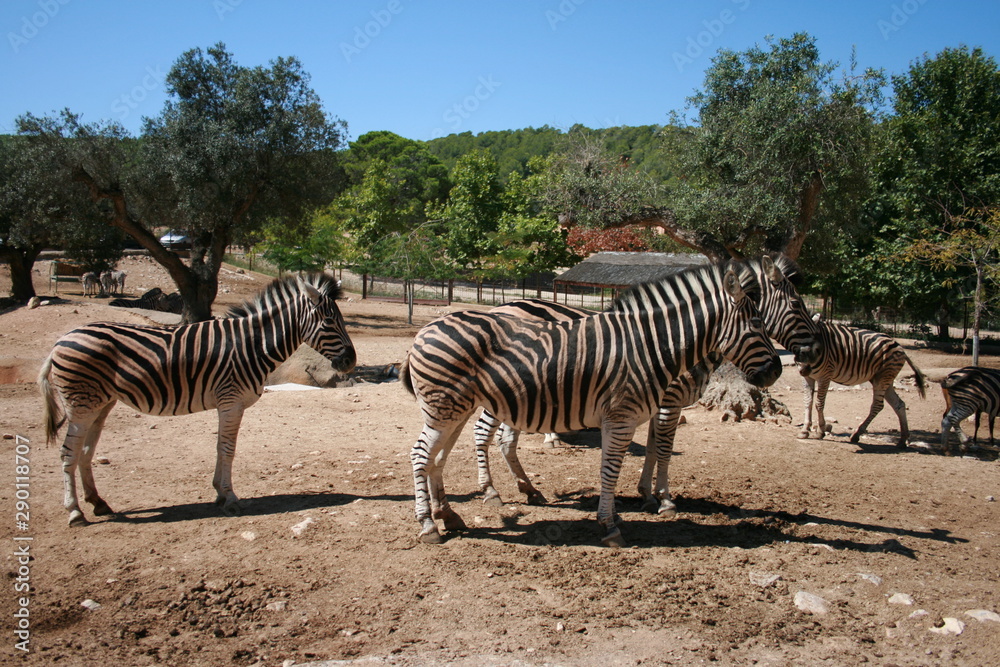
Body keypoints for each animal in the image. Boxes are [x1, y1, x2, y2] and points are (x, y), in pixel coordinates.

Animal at [39, 273, 356, 526]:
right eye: (330, 321)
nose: (351, 362)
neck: (252, 345)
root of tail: (59, 341)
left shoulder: (228, 403)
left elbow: (220, 448)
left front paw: (219, 493)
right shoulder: (231, 401)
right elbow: (228, 449)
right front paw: (230, 498)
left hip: (101, 402)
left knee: (85, 451)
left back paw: (98, 502)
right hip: (81, 403)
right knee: (68, 453)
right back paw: (75, 512)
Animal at [402, 261, 782, 547]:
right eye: (757, 323)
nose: (777, 371)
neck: (650, 346)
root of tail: (426, 328)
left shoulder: (629, 416)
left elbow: (623, 463)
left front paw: (626, 510)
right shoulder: (623, 415)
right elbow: (611, 469)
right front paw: (611, 526)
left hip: (455, 410)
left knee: (436, 458)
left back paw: (449, 516)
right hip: (445, 408)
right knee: (421, 454)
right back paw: (428, 526)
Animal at [471, 254, 817, 517]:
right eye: (796, 305)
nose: (811, 354)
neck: (671, 338)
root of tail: (500, 307)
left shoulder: (657, 402)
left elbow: (652, 447)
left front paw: (647, 494)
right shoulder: (670, 400)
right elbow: (663, 448)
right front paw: (665, 499)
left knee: (505, 439)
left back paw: (529, 489)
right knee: (483, 432)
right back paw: (491, 491)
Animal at [796, 321, 927, 447]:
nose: (804, 369)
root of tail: (900, 347)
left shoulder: (825, 376)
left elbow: (819, 403)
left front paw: (820, 431)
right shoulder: (808, 377)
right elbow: (808, 401)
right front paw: (805, 430)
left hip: (883, 377)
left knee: (877, 405)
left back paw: (856, 434)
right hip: (884, 378)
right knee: (898, 404)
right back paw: (902, 440)